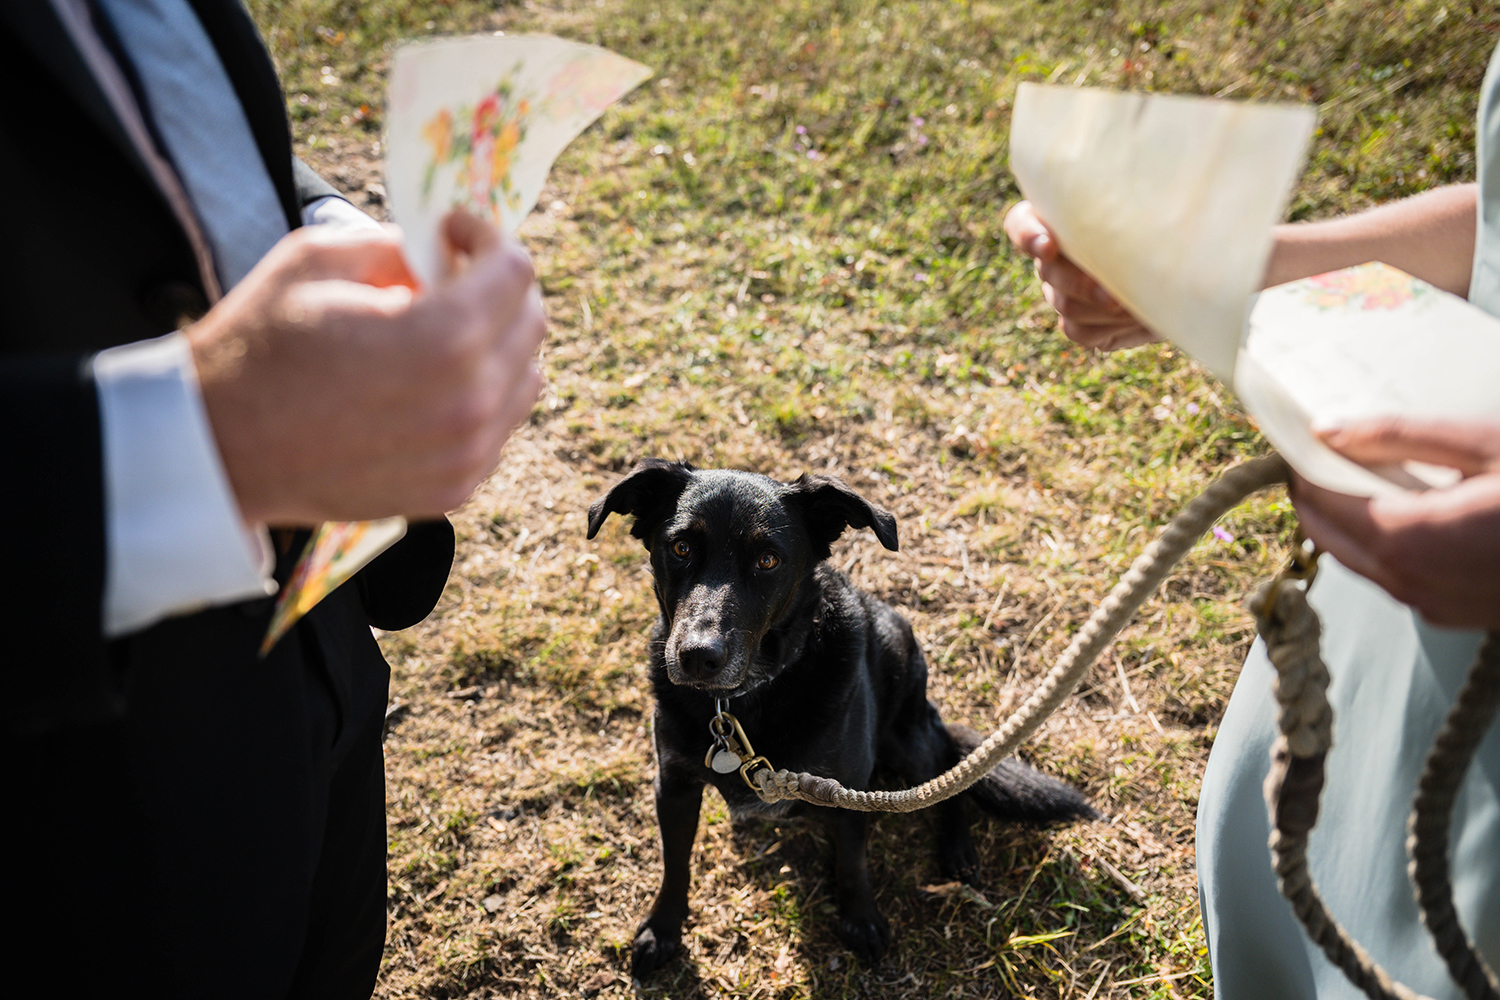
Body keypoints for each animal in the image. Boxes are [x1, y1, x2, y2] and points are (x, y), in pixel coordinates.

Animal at [582, 461, 1092, 977]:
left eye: (768, 560)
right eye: (681, 548)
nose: (698, 657)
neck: (743, 699)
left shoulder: (846, 789)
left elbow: (852, 861)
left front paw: (861, 918)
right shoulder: (674, 785)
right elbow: (675, 863)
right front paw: (662, 929)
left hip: (905, 734)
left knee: (947, 764)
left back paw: (957, 849)